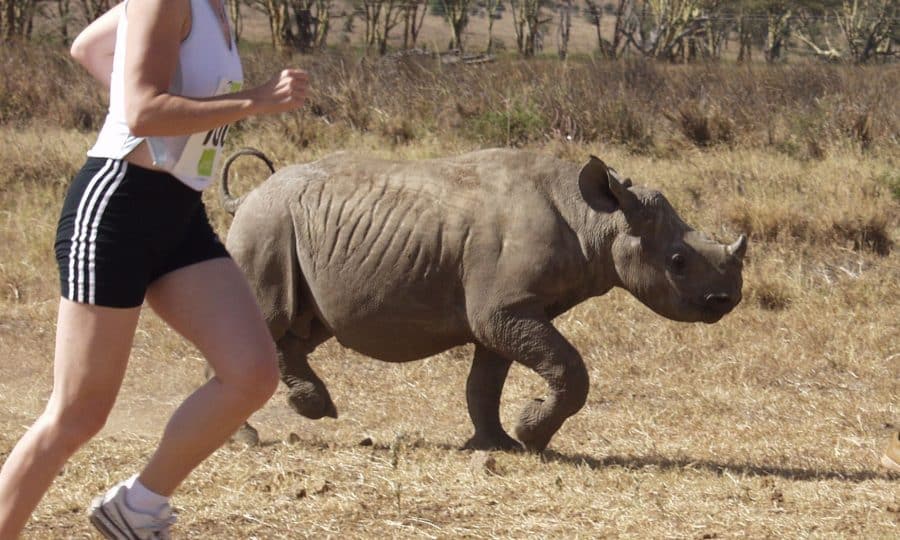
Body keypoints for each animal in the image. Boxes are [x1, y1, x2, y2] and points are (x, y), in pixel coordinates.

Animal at [219, 148, 747, 452]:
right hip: (266, 226)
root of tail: (248, 195)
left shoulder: (506, 312)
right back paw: (246, 438)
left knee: (299, 329)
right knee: (268, 321)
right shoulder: (505, 309)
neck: (596, 217)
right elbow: (570, 369)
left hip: (286, 231)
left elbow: (484, 383)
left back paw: (310, 407)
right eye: (678, 261)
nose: (727, 299)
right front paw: (530, 434)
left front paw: (498, 445)